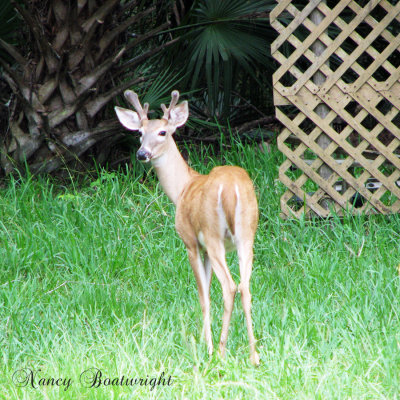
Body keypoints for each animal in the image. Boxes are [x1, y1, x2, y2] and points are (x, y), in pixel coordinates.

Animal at [114, 90, 260, 366]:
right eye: (140, 133)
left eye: (162, 132)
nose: (142, 154)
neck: (182, 188)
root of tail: (231, 189)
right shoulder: (205, 250)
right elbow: (208, 291)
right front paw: (204, 339)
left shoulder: (191, 242)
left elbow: (203, 296)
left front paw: (207, 346)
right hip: (247, 234)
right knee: (245, 286)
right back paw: (254, 355)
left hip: (214, 235)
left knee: (230, 287)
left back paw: (220, 353)